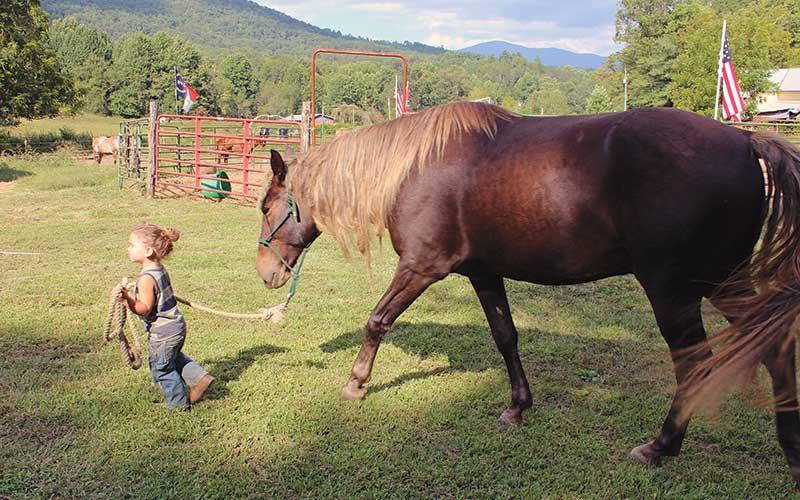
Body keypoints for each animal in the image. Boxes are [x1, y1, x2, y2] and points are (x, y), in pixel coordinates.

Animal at [255, 101, 800, 488]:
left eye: (265, 206)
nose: (266, 273)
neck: (414, 167)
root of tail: (746, 139)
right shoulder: (484, 274)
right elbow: (506, 337)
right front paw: (518, 406)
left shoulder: (420, 268)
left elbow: (377, 320)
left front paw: (356, 383)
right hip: (724, 282)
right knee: (774, 349)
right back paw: (790, 449)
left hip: (675, 291)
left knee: (695, 364)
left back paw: (661, 446)